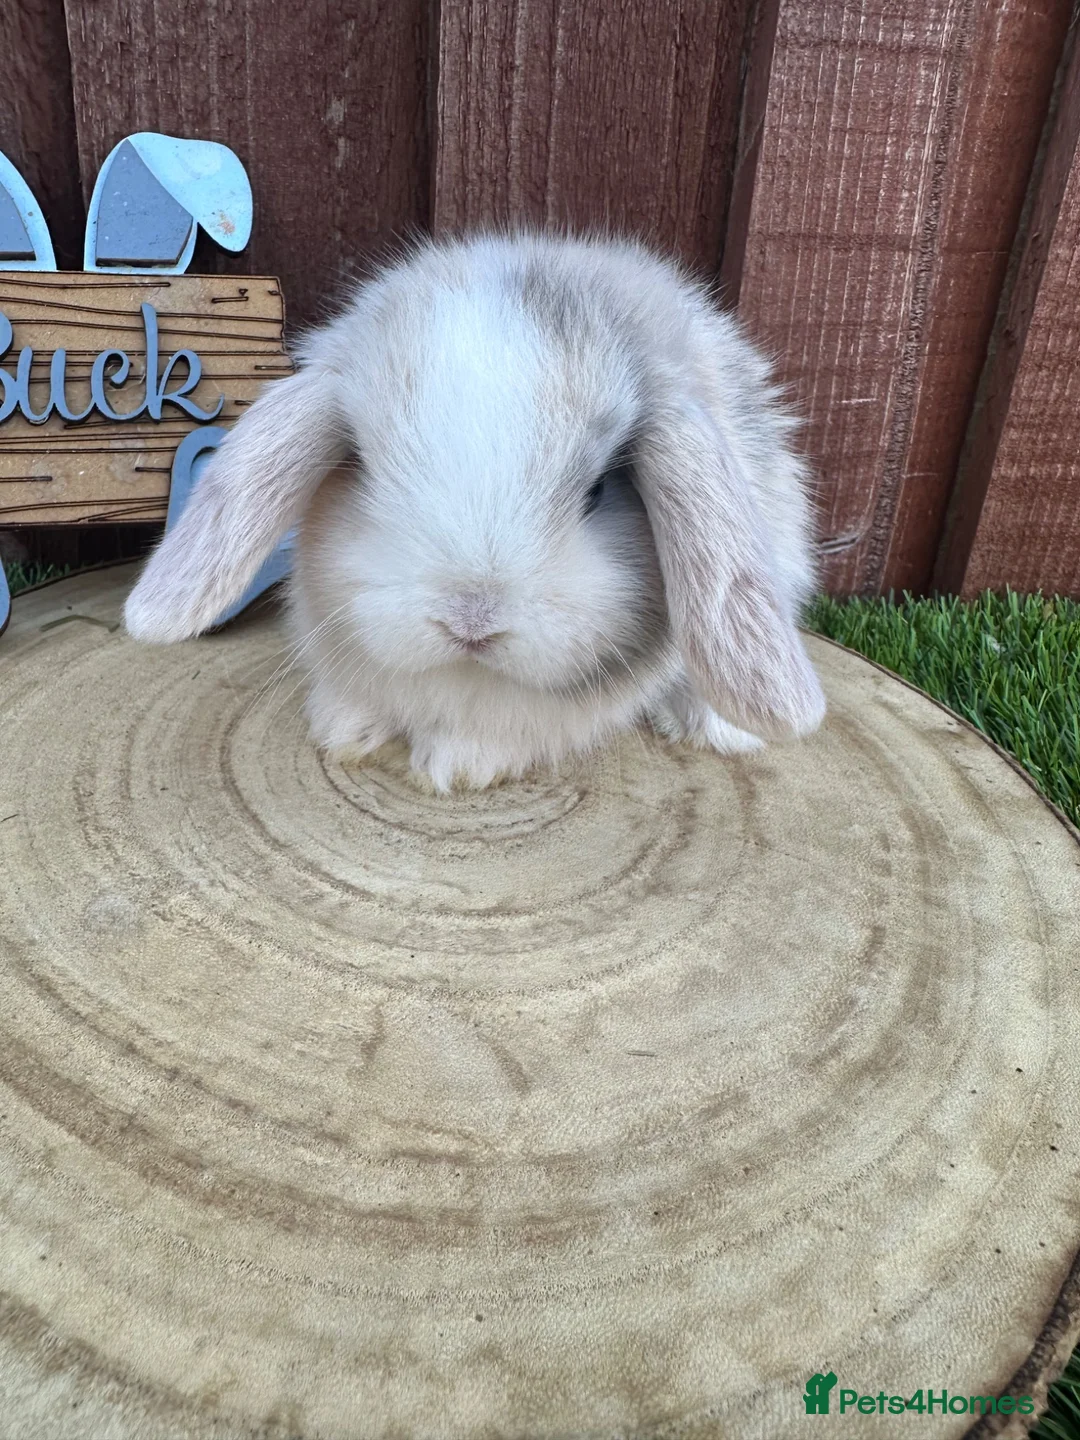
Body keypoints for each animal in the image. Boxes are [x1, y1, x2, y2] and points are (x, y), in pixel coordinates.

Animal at [123, 231, 826, 792]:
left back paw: (716, 728)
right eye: (366, 467)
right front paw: (344, 731)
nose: (471, 623)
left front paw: (456, 765)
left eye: (600, 489)